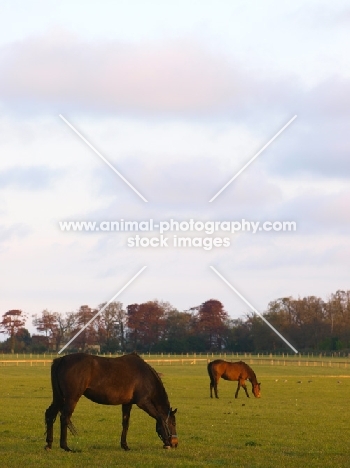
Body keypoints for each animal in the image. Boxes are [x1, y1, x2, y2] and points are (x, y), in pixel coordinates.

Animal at [45, 352, 178, 452]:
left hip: (59, 398)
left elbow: (126, 423)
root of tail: (61, 360)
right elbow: (160, 417)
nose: (175, 443)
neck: (144, 375)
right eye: (173, 423)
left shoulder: (127, 403)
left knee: (50, 415)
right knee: (64, 418)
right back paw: (65, 447)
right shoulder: (143, 402)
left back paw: (49, 444)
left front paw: (125, 446)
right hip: (71, 398)